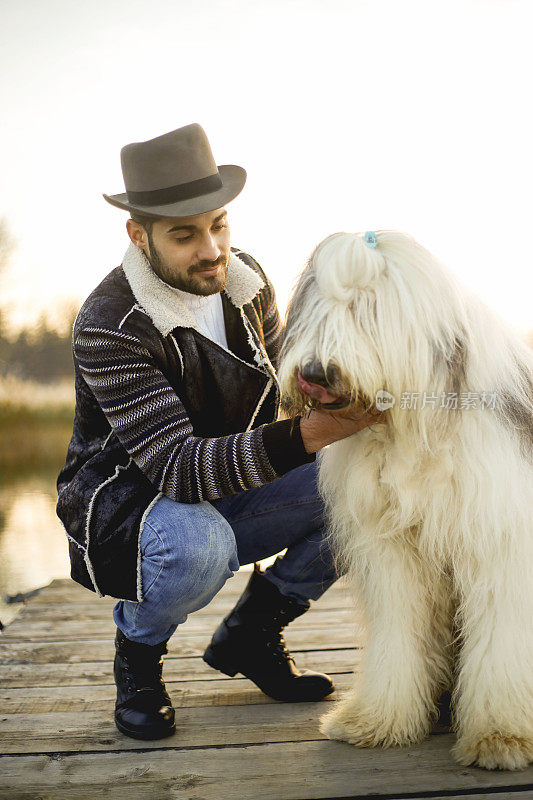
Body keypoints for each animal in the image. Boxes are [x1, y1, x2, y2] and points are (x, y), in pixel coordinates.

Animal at [278, 230, 532, 768]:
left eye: (368, 308)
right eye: (318, 307)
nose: (315, 371)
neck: (409, 430)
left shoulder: (500, 545)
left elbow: (501, 638)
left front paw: (501, 736)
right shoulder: (393, 552)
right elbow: (399, 630)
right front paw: (376, 720)